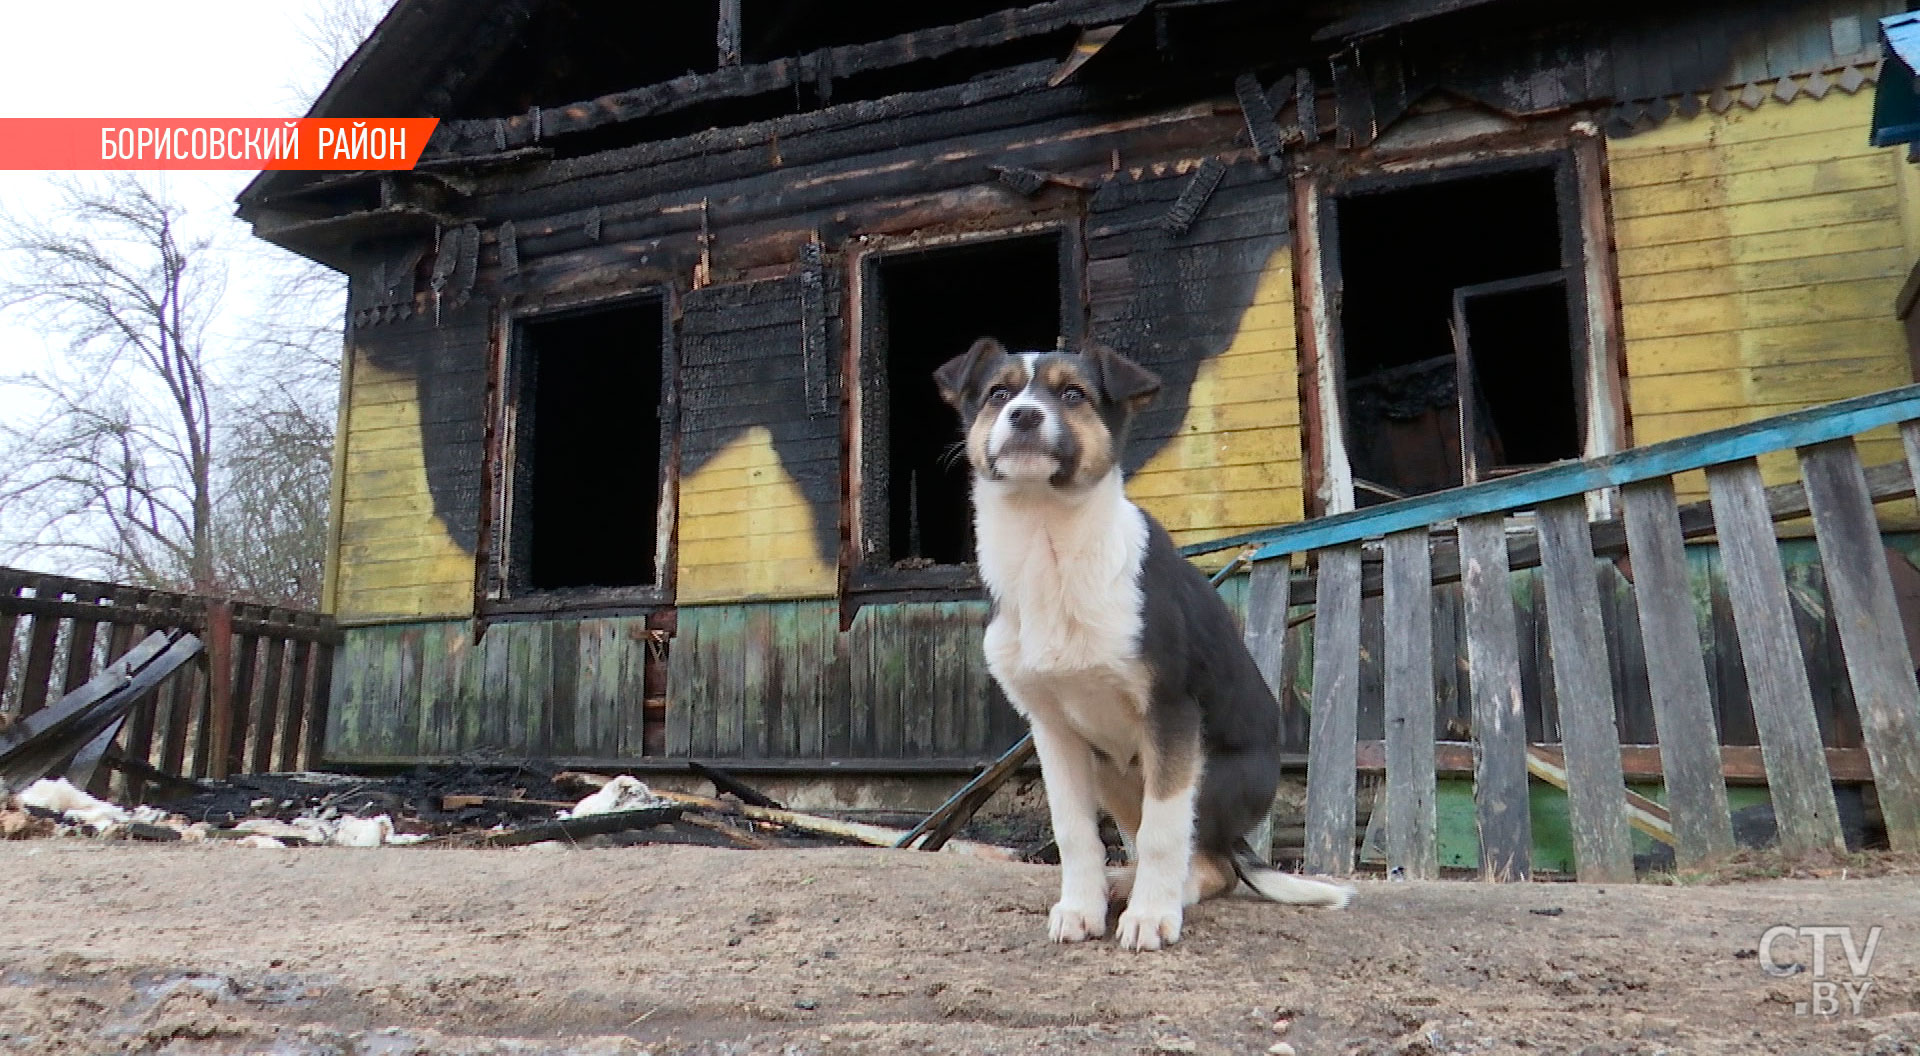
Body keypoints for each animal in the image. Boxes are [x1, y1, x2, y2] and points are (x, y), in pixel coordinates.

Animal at [929, 343, 1351, 956]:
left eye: (1073, 393)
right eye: (998, 394)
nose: (1024, 415)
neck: (1048, 544)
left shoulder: (1170, 712)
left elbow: (1161, 833)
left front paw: (1152, 917)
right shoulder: (1052, 730)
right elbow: (1075, 831)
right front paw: (1082, 908)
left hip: (1204, 774)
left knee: (1210, 862)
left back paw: (1163, 893)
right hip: (1113, 772)